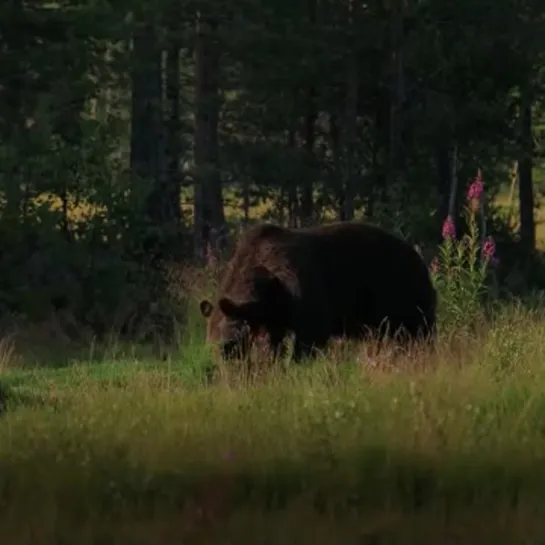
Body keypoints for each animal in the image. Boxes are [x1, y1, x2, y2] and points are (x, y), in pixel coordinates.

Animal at [200, 219, 438, 364]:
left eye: (226, 345)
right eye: (209, 343)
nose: (219, 362)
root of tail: (420, 258)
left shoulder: (301, 288)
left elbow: (311, 333)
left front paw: (296, 363)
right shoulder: (274, 313)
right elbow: (274, 341)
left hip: (400, 291)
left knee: (417, 330)